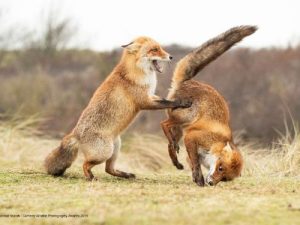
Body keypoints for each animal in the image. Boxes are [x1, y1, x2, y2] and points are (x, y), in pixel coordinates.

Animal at [43, 37, 191, 181]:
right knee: (85, 164)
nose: (171, 56)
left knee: (108, 169)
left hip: (116, 147)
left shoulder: (150, 95)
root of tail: (75, 133)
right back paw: (91, 177)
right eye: (154, 50)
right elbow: (167, 102)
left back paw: (126, 175)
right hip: (104, 152)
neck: (137, 72)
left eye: (160, 48)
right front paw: (182, 102)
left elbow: (164, 100)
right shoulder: (144, 101)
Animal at [161, 25, 256, 186]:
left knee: (170, 144)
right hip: (185, 117)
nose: (212, 183)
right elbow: (195, 164)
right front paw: (199, 179)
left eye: (224, 178)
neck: (215, 144)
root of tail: (188, 81)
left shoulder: (191, 147)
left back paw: (176, 161)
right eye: (220, 168)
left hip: (179, 129)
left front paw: (196, 177)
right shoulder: (191, 138)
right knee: (164, 124)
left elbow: (192, 163)